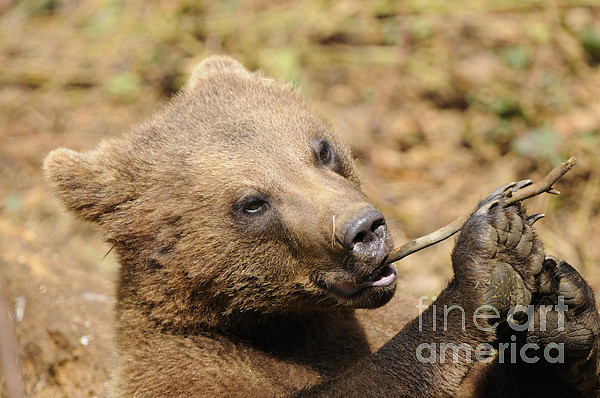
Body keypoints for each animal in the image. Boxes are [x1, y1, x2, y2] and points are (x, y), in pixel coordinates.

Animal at [44, 56, 596, 398]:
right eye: (252, 203)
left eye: (321, 148)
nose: (364, 229)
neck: (272, 325)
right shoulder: (189, 370)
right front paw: (486, 267)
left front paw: (557, 307)